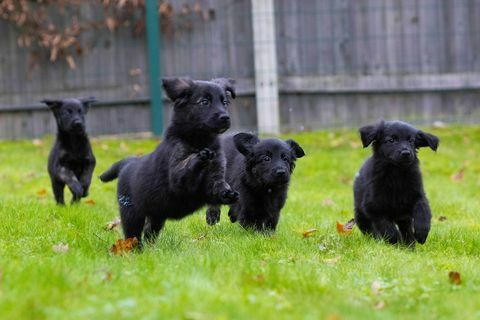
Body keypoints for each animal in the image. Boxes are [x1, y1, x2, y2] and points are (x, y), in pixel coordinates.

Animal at [99, 77, 238, 242]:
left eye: (225, 102)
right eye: (204, 102)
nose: (226, 118)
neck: (199, 139)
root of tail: (129, 163)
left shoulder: (215, 174)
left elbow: (218, 185)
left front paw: (226, 194)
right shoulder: (177, 178)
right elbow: (186, 166)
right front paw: (200, 156)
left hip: (156, 216)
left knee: (149, 232)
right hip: (132, 214)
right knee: (133, 234)